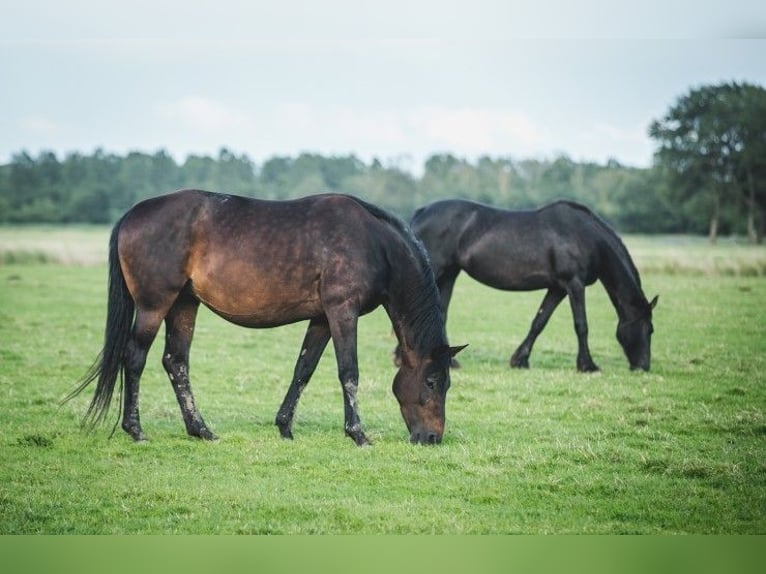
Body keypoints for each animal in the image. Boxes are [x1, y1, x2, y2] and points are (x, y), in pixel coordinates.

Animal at [66, 191, 464, 448]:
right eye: (431, 382)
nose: (432, 438)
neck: (374, 243)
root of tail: (132, 214)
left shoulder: (321, 318)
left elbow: (303, 370)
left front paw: (285, 427)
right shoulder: (342, 312)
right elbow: (348, 372)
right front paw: (358, 434)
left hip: (183, 305)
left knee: (175, 362)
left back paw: (201, 430)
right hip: (154, 305)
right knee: (135, 359)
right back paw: (136, 430)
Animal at [412, 200, 656, 374]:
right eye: (650, 329)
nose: (643, 366)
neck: (585, 236)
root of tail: (421, 212)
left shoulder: (558, 288)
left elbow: (539, 322)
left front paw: (520, 360)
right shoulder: (574, 284)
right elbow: (581, 325)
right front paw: (588, 366)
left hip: (449, 274)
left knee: (441, 313)